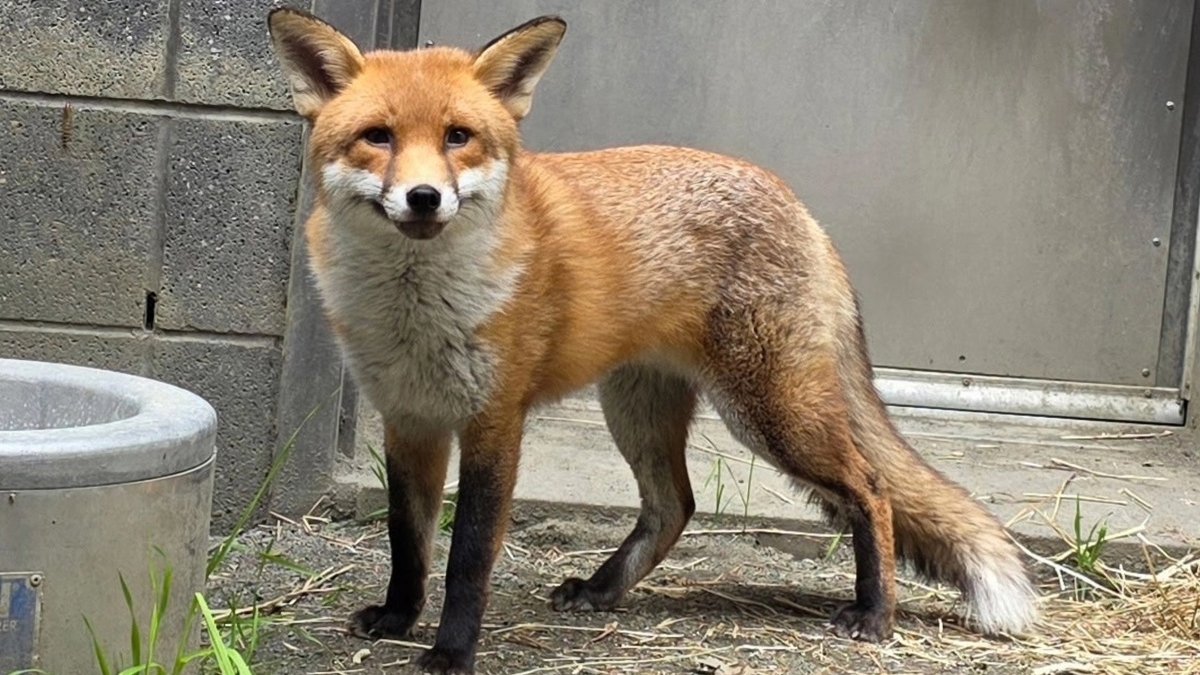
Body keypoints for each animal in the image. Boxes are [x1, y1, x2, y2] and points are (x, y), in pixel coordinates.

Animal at [267, 8, 1038, 674]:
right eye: (379, 136)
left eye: (458, 137)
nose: (425, 198)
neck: (416, 313)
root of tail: (799, 204)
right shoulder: (409, 419)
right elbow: (408, 540)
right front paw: (399, 618)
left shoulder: (495, 423)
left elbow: (467, 560)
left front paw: (453, 652)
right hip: (637, 409)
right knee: (675, 506)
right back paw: (602, 590)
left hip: (771, 414)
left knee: (871, 489)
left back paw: (875, 612)